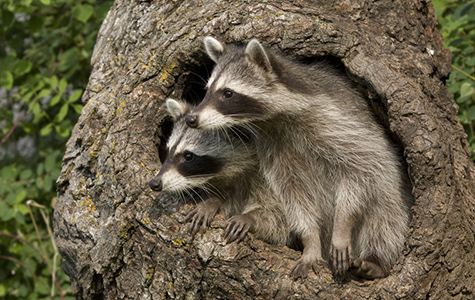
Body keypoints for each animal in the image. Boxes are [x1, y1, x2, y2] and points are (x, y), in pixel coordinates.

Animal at [150, 98, 290, 246]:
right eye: (168, 150)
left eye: (188, 156)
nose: (154, 183)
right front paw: (213, 200)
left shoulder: (276, 180)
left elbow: (280, 220)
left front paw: (249, 218)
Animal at [184, 37, 414, 278]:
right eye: (207, 90)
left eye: (227, 93)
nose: (191, 119)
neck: (275, 121)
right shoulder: (275, 150)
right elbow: (294, 196)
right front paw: (310, 243)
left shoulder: (338, 124)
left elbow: (361, 169)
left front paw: (342, 227)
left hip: (392, 195)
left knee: (386, 217)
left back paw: (377, 259)